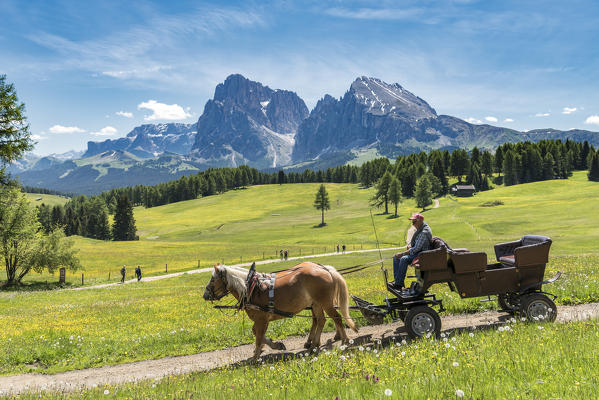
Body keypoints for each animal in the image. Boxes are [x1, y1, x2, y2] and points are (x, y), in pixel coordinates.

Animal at [204, 262, 358, 360]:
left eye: (212, 280)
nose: (205, 295)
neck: (251, 288)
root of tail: (325, 269)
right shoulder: (260, 320)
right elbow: (256, 333)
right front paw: (275, 345)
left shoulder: (262, 319)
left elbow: (258, 337)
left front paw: (255, 356)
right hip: (316, 304)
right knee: (320, 320)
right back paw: (314, 345)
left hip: (325, 302)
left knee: (336, 318)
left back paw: (344, 341)